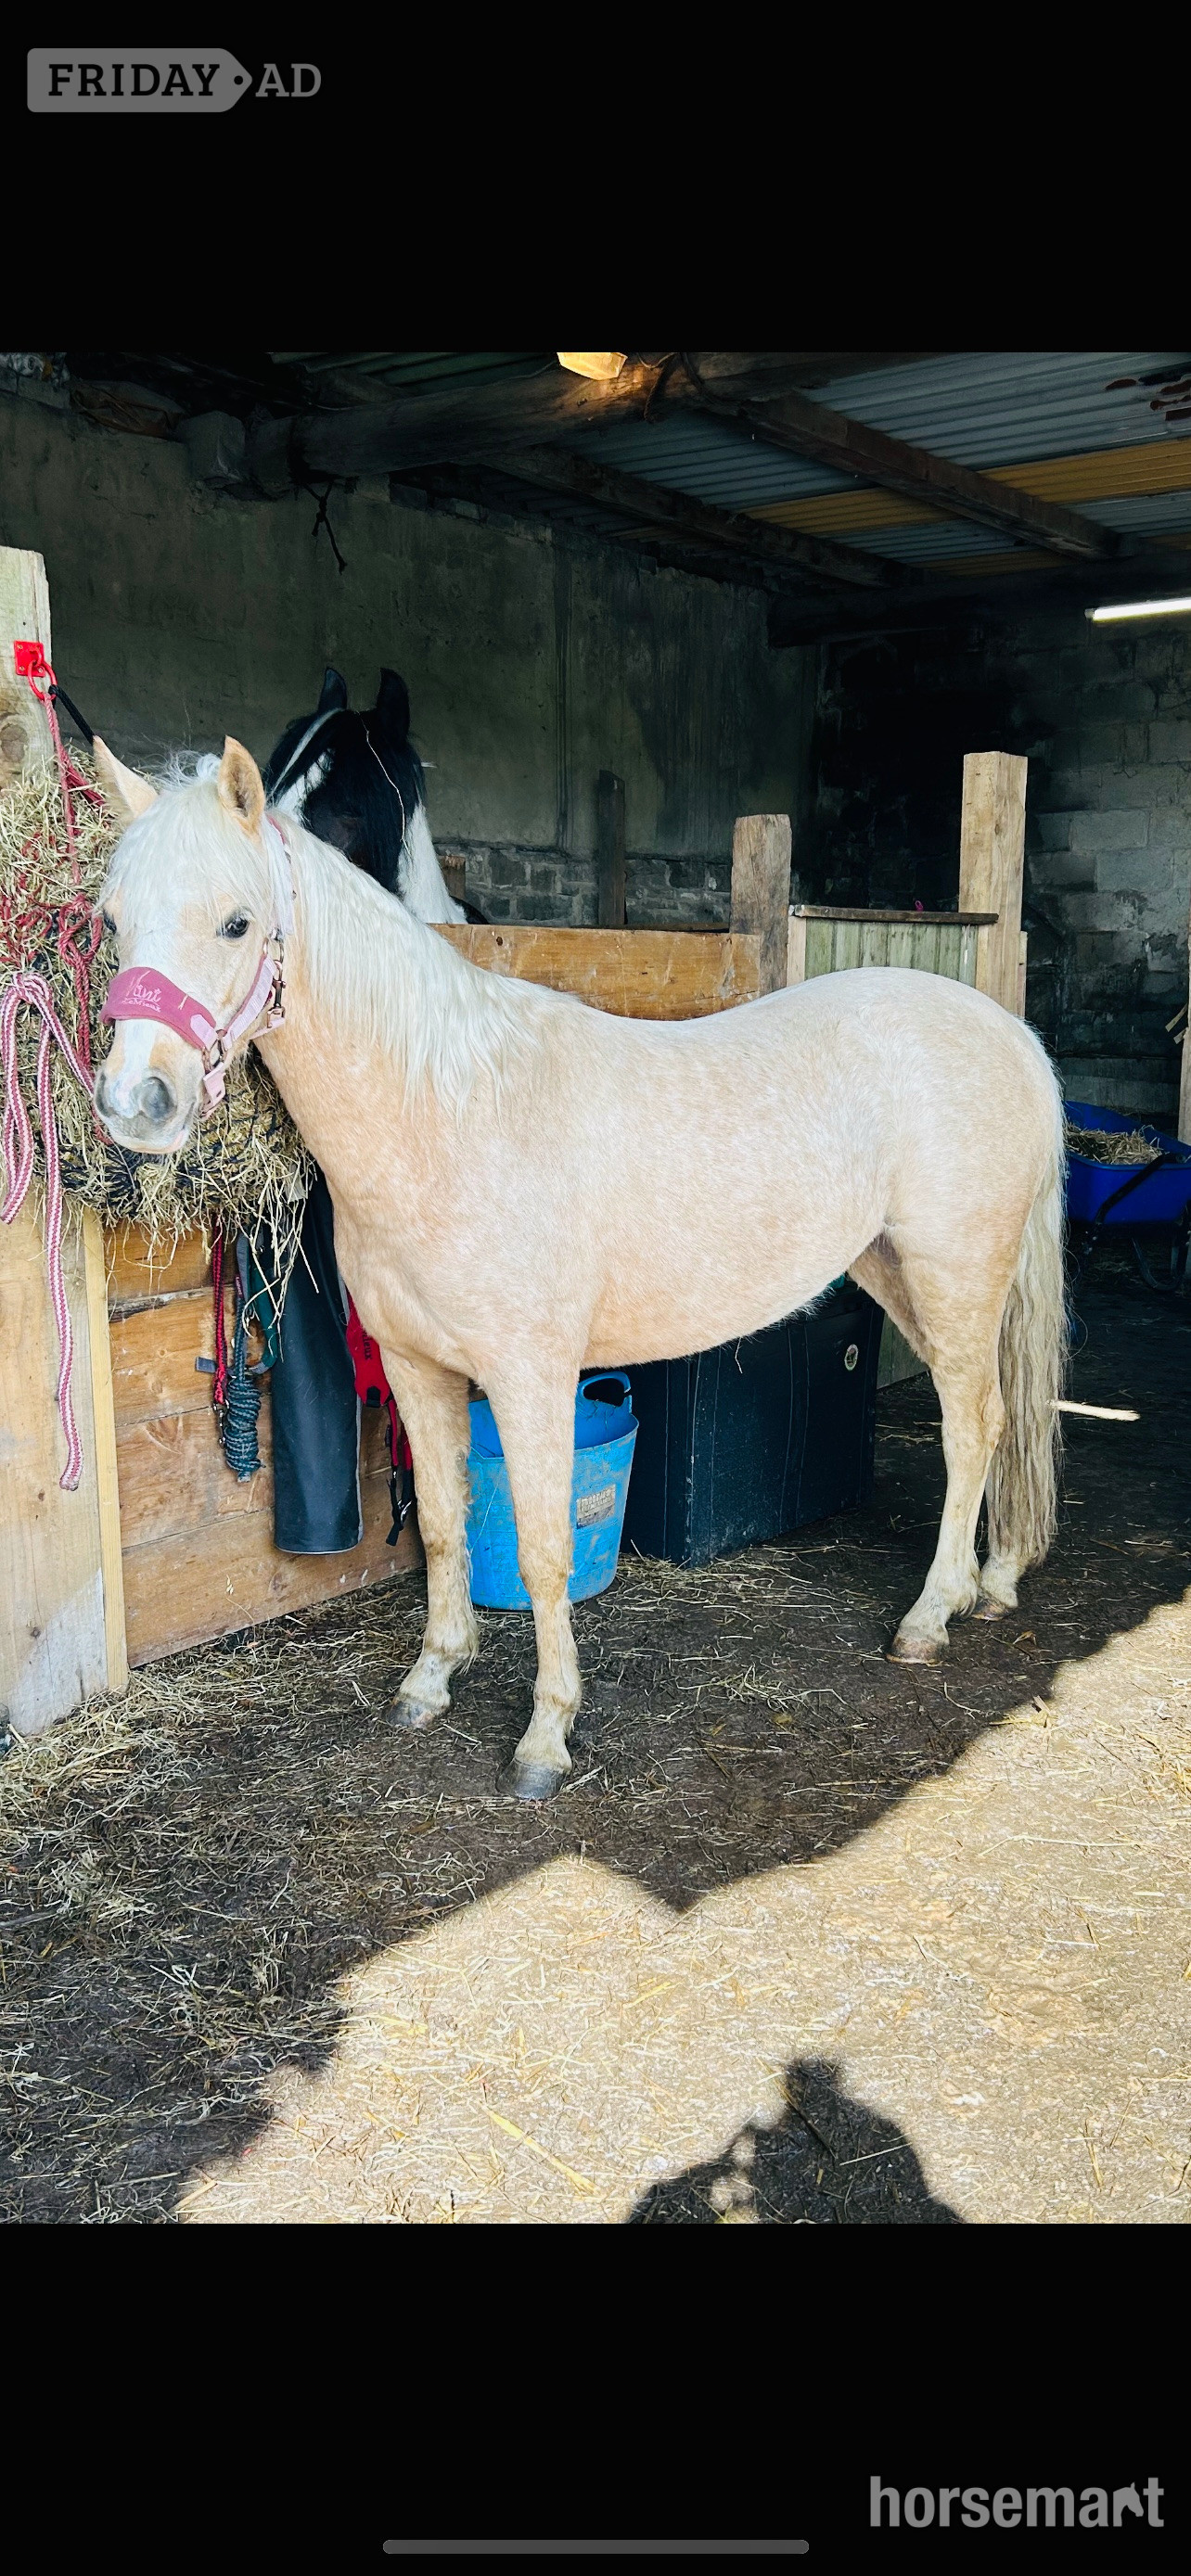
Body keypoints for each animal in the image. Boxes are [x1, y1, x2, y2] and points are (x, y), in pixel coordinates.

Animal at [91, 736, 1068, 1802]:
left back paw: (930, 1617)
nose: (136, 1103)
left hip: (955, 1277)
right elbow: (445, 1525)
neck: (449, 1115)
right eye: (111, 920)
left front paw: (545, 1736)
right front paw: (431, 1680)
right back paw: (989, 1584)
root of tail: (1008, 1033)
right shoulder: (415, 1368)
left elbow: (543, 1547)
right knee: (990, 1424)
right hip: (892, 1269)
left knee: (975, 1427)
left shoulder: (531, 1378)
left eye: (236, 922)